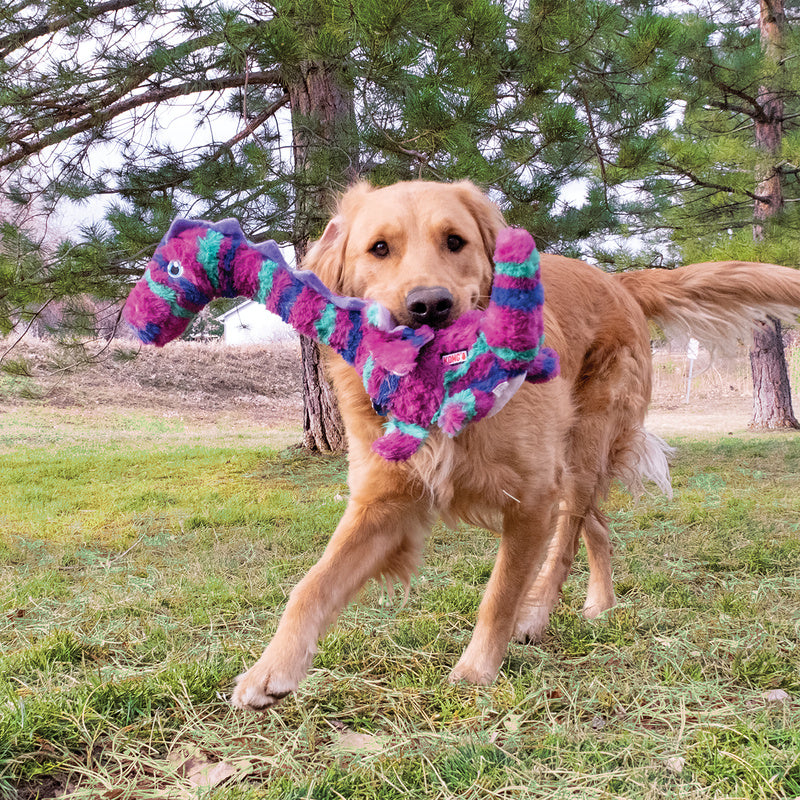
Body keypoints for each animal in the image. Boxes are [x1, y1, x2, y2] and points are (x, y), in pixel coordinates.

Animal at [230, 180, 800, 708]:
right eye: (379, 248)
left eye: (454, 241)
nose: (430, 305)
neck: (446, 389)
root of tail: (617, 280)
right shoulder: (383, 502)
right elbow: (311, 585)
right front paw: (270, 670)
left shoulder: (531, 499)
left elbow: (500, 592)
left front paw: (477, 669)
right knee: (598, 527)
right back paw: (600, 603)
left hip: (580, 454)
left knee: (568, 539)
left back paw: (539, 614)